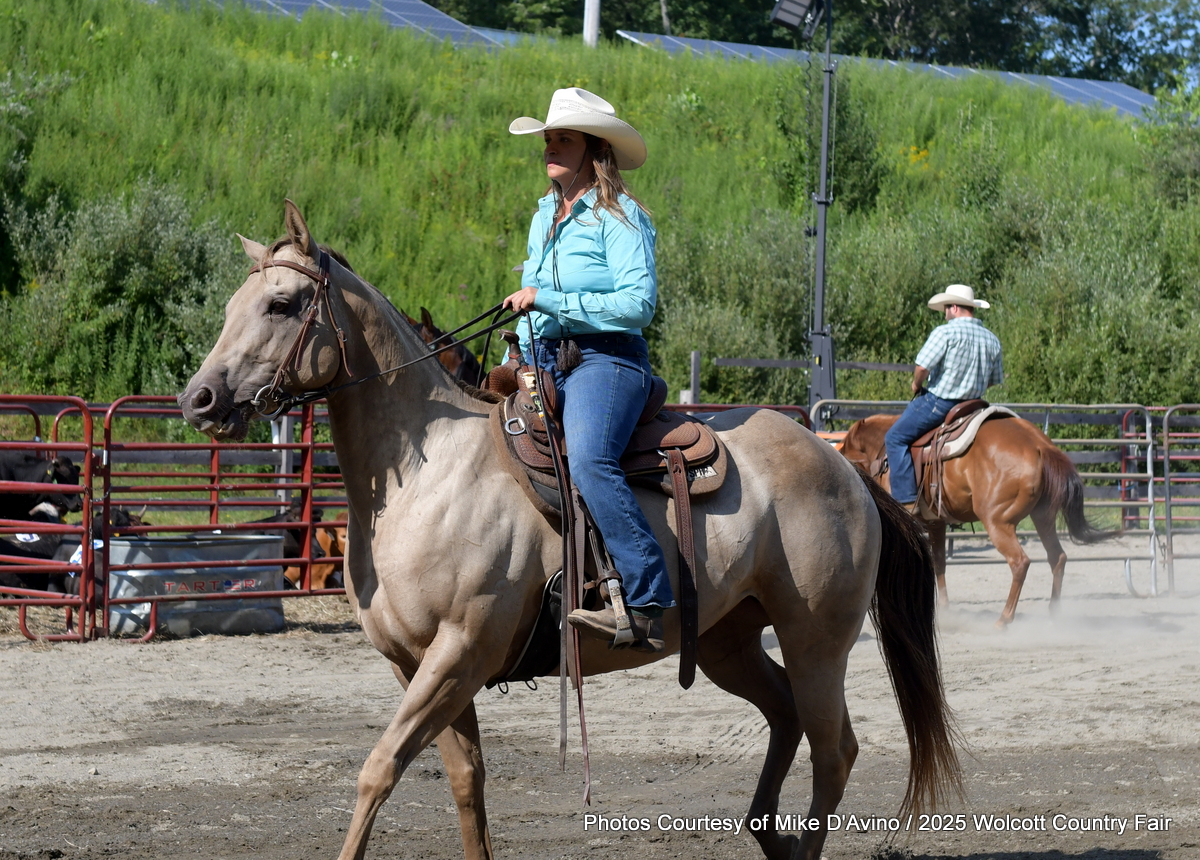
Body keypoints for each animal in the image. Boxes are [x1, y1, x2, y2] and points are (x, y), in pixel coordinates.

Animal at [178, 201, 960, 860]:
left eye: (282, 303)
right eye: (233, 305)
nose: (199, 399)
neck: (433, 477)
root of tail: (843, 468)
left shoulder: (460, 652)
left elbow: (379, 769)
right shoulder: (417, 663)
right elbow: (466, 783)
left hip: (816, 639)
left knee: (834, 749)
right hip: (726, 642)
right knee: (787, 718)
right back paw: (768, 834)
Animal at [838, 413, 1112, 627]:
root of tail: (1039, 445)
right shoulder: (936, 523)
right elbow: (939, 563)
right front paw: (943, 610)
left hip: (998, 521)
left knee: (1020, 562)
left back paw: (1004, 619)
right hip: (1042, 517)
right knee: (1058, 557)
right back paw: (1054, 613)